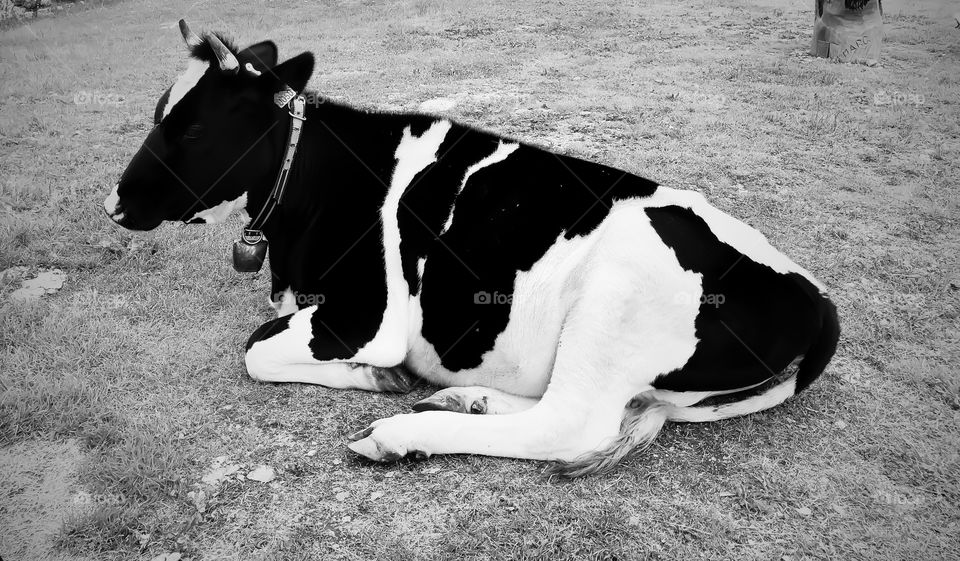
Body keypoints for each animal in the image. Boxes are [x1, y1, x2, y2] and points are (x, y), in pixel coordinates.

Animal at [104, 21, 840, 476]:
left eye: (193, 130)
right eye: (159, 112)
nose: (113, 202)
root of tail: (817, 295)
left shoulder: (364, 316)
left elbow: (255, 349)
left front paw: (378, 378)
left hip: (615, 301)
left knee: (569, 423)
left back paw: (400, 434)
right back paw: (466, 400)